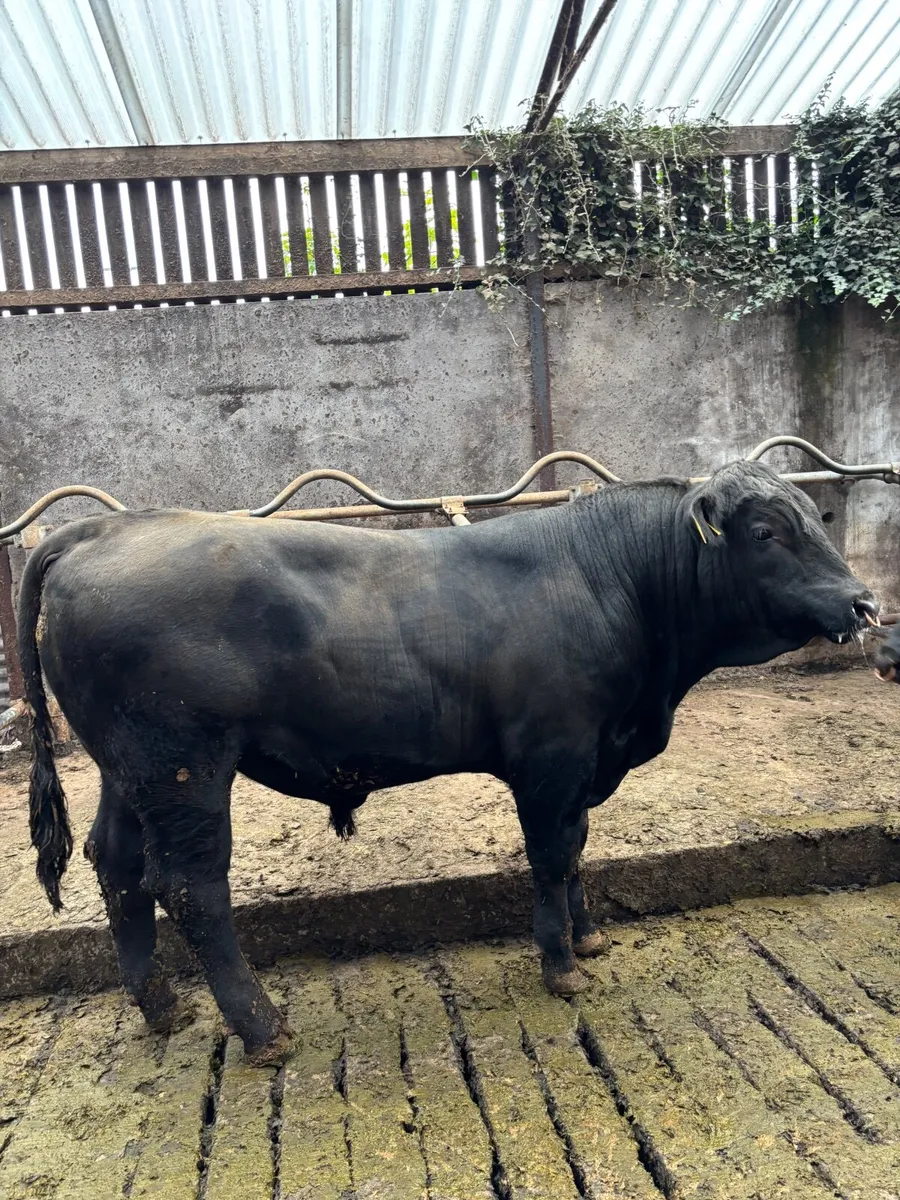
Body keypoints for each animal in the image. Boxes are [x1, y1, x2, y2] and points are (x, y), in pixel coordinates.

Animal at [19, 460, 877, 1065]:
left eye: (817, 518)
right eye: (765, 532)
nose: (864, 602)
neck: (612, 581)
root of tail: (99, 530)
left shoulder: (584, 761)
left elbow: (578, 851)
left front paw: (588, 937)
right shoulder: (552, 758)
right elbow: (552, 857)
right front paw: (561, 963)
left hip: (129, 771)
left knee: (116, 864)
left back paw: (162, 1005)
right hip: (184, 766)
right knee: (190, 889)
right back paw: (262, 1029)